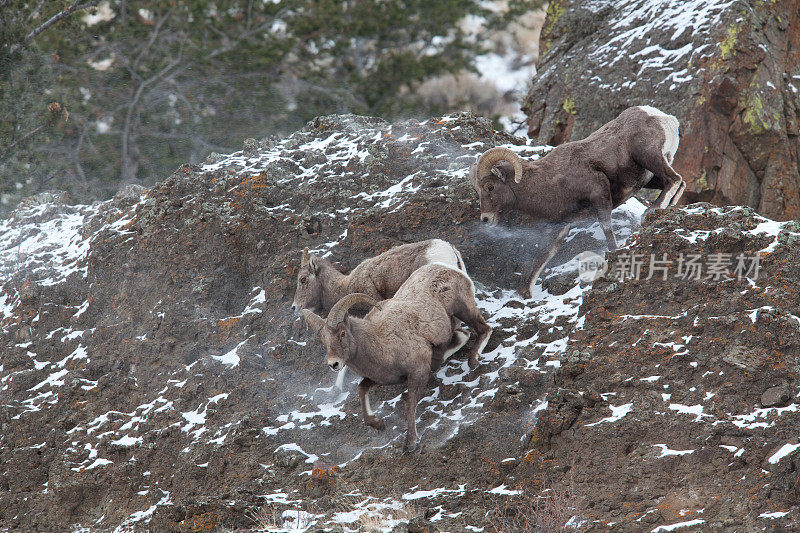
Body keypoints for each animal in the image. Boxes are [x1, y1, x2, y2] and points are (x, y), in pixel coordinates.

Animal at [300, 264, 490, 450]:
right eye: (324, 340)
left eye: (342, 333)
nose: (334, 364)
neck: (381, 341)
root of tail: (452, 269)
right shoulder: (385, 378)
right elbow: (362, 389)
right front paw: (377, 423)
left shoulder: (417, 373)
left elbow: (410, 403)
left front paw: (411, 443)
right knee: (461, 336)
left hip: (463, 309)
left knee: (483, 329)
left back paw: (473, 360)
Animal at [472, 104, 684, 296]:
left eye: (490, 187)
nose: (485, 219)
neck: (549, 181)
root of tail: (665, 118)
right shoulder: (560, 227)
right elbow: (543, 255)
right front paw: (526, 292)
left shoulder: (598, 192)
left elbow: (606, 227)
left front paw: (613, 252)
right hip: (651, 175)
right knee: (679, 183)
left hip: (648, 156)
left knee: (674, 179)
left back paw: (651, 211)